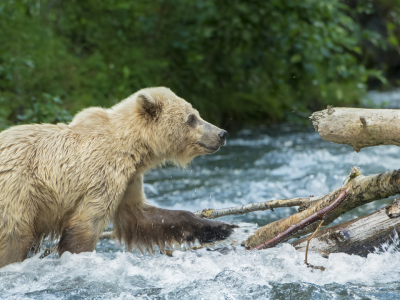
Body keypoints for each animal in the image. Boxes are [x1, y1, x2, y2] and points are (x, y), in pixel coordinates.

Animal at [0, 86, 236, 268]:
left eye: (196, 113)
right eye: (191, 118)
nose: (221, 133)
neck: (133, 147)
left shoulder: (130, 179)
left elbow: (141, 217)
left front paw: (220, 227)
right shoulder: (102, 174)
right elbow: (86, 225)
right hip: (17, 194)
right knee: (15, 237)